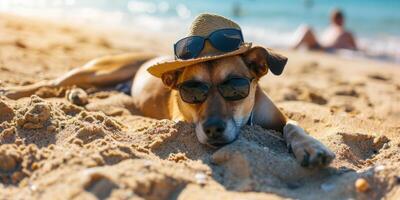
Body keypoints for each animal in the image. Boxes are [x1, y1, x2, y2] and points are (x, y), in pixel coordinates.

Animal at [2, 13, 334, 168]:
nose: (213, 129)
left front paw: (310, 146)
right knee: (51, 83)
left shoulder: (278, 117)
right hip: (101, 69)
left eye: (235, 86)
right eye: (192, 92)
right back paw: (13, 93)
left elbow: (294, 124)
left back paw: (77, 97)